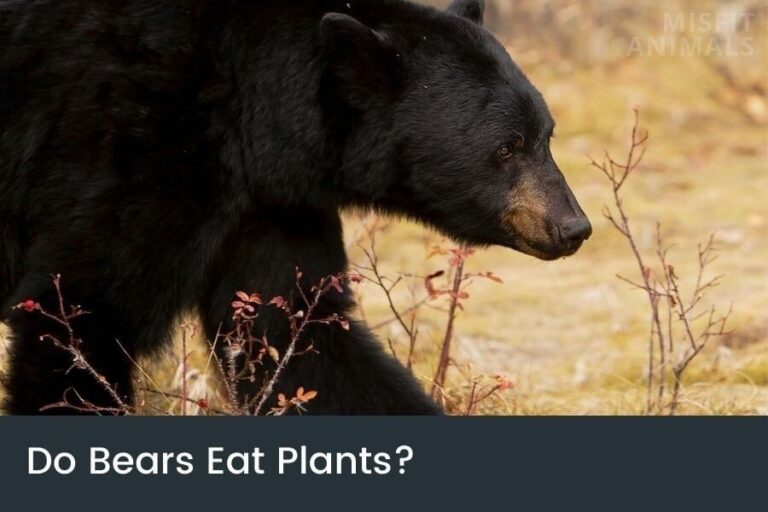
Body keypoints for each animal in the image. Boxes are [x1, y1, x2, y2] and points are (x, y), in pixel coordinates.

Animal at [0, 0, 591, 415]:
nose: (573, 227)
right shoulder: (137, 142)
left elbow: (295, 335)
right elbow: (84, 311)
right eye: (507, 146)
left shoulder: (271, 204)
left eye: (547, 134)